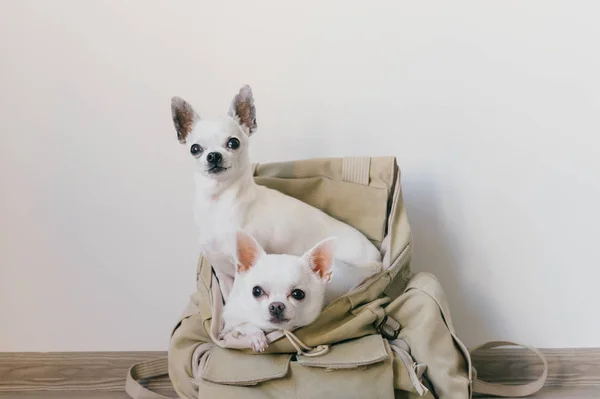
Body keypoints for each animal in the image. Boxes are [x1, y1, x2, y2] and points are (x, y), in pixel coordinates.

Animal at [171, 85, 382, 304]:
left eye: (233, 143)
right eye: (195, 149)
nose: (213, 156)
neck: (218, 202)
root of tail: (378, 259)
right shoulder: (222, 273)